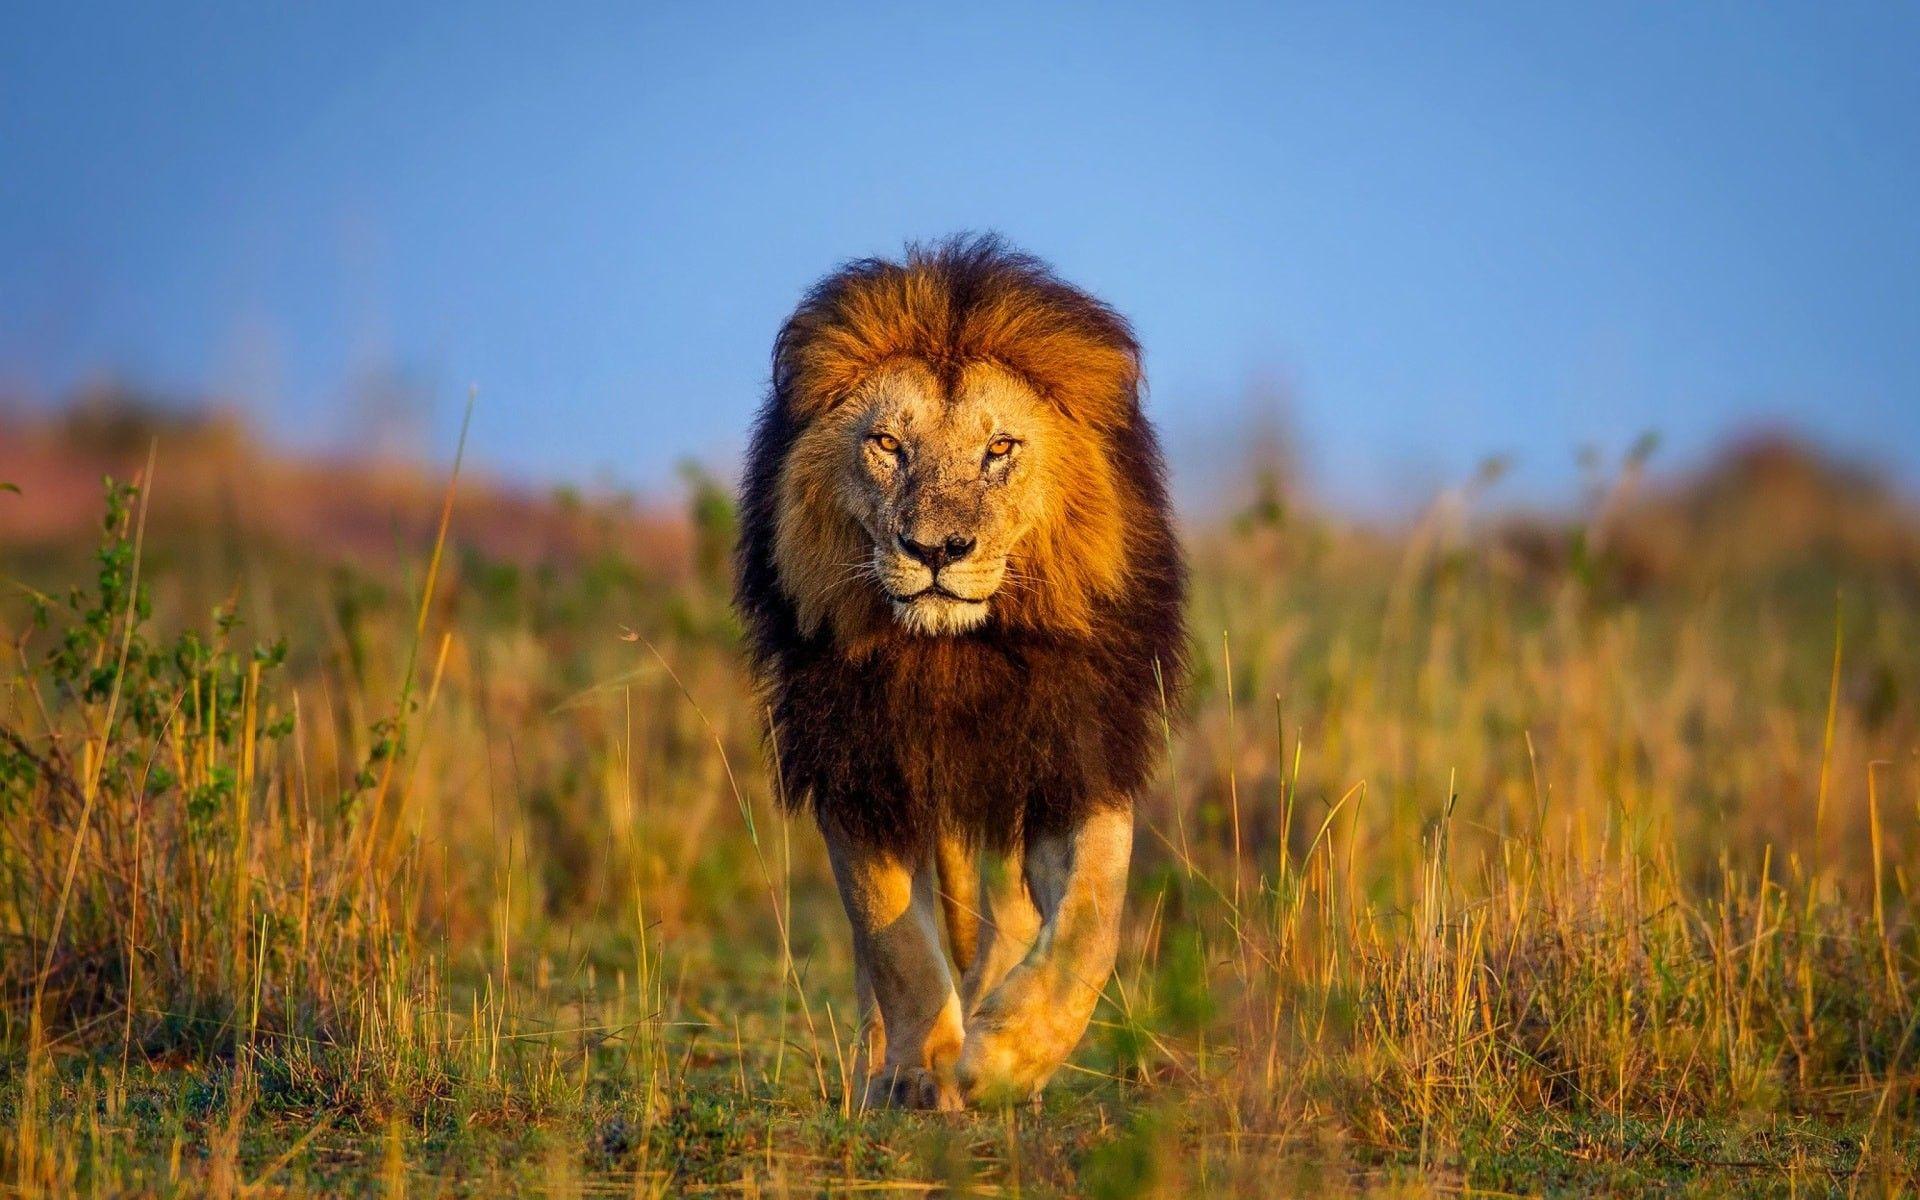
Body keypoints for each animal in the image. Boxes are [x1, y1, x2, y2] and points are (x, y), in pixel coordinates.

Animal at [735, 235, 1187, 1109]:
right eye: (887, 444)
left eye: (999, 449)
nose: (936, 550)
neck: (953, 656)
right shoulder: (859, 761)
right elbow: (894, 940)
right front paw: (920, 1069)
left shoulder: (1073, 754)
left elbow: (1090, 922)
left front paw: (1004, 1058)